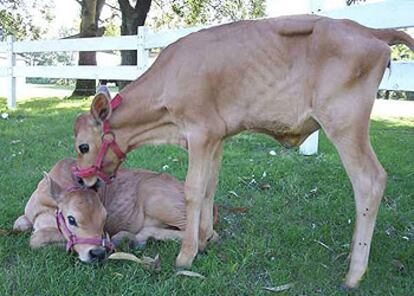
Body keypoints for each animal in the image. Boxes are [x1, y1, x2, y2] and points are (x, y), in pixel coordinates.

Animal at [12, 158, 193, 262]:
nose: (98, 253)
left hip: (159, 201)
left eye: (104, 218)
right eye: (71, 219)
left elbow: (37, 238)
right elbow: (18, 224)